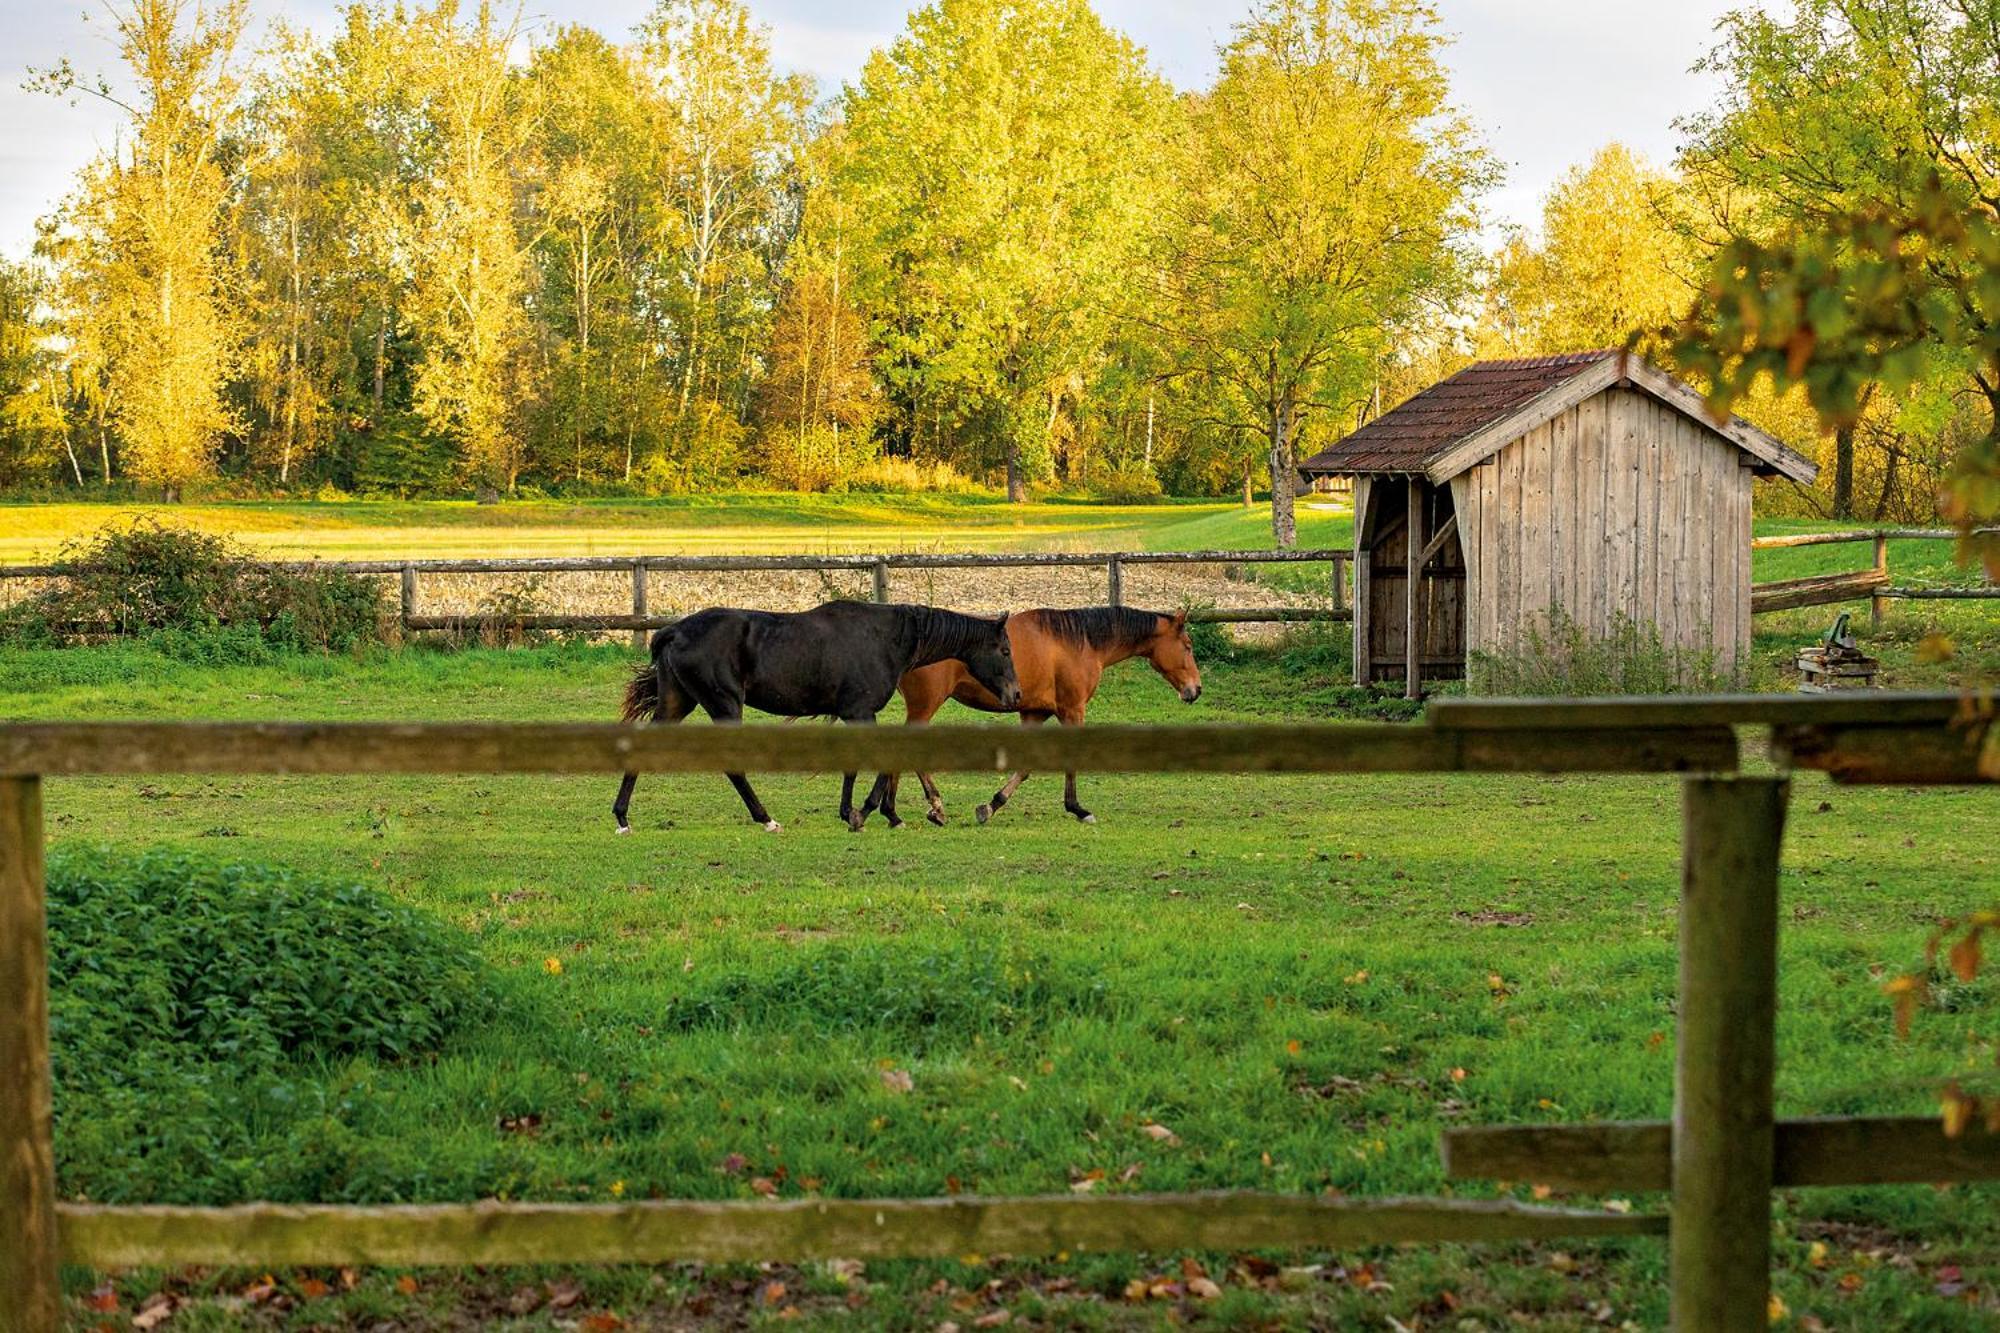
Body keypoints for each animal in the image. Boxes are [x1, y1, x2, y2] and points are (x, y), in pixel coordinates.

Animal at [616, 600, 1024, 832]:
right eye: (1004, 650)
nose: (1016, 694)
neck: (885, 637)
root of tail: (673, 631)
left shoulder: (851, 715)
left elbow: (853, 766)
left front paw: (854, 812)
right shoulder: (861, 712)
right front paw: (866, 812)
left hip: (677, 703)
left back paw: (622, 818)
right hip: (724, 705)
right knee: (734, 767)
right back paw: (766, 819)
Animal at [852, 604, 1192, 832]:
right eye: (1187, 646)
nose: (1195, 689)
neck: (1080, 642)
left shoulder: (1034, 713)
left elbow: (1026, 767)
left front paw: (991, 806)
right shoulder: (1072, 710)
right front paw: (1078, 809)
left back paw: (896, 812)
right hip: (924, 707)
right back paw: (913, 810)